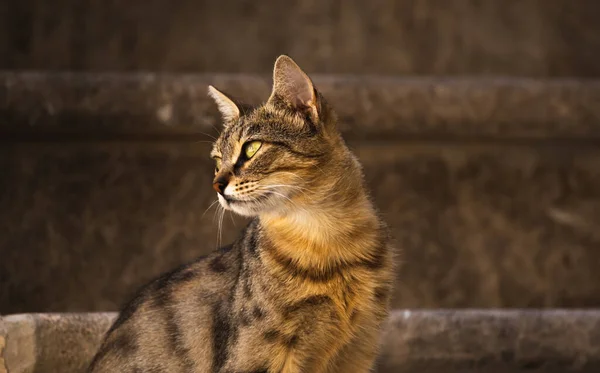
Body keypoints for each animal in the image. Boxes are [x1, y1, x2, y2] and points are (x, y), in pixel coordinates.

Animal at [88, 55, 394, 372]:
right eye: (217, 160)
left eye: (252, 148)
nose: (216, 185)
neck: (327, 239)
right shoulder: (261, 355)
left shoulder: (357, 348)